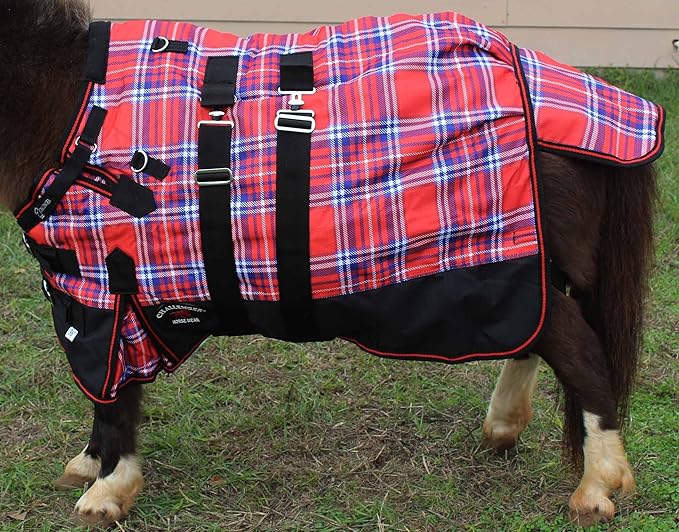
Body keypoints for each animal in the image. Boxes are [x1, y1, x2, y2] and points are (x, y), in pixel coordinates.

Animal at [0, 0, 660, 527]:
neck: (72, 110)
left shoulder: (104, 292)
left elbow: (113, 393)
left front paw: (109, 487)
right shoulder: (104, 296)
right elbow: (108, 390)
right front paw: (90, 464)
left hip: (502, 263)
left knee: (578, 350)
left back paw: (598, 484)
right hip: (521, 264)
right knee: (540, 335)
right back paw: (505, 426)